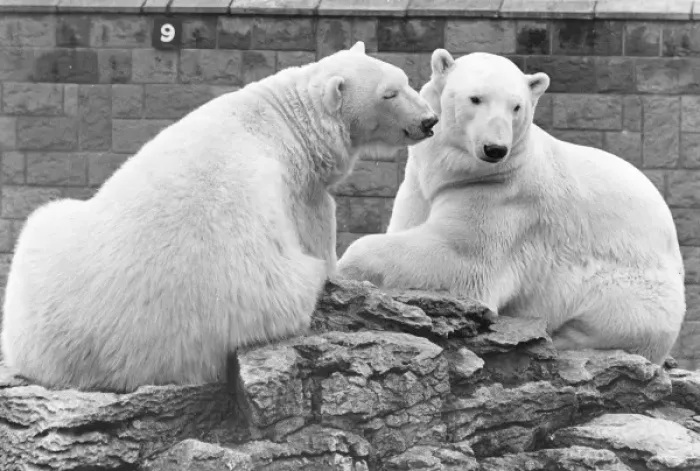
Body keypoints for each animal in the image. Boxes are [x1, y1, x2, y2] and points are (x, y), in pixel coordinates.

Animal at [0, 41, 439, 392]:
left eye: (406, 80)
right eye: (389, 93)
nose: (429, 121)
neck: (284, 117)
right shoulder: (299, 184)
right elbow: (318, 226)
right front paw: (343, 272)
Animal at [337, 49, 686, 365]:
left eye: (516, 106)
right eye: (475, 98)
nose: (495, 149)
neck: (461, 173)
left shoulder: (503, 198)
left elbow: (459, 258)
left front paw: (345, 266)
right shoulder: (419, 185)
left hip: (633, 290)